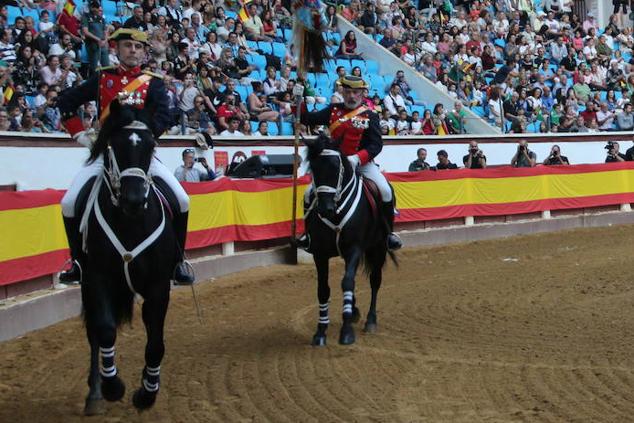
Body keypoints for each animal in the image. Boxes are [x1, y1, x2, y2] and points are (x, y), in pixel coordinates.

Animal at [79, 101, 179, 416]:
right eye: (115, 145)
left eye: (151, 145)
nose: (134, 200)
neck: (131, 222)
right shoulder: (98, 278)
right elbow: (106, 330)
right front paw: (114, 388)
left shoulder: (159, 285)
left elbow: (156, 343)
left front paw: (147, 394)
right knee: (94, 332)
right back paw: (95, 393)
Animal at [302, 137, 396, 348]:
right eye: (314, 168)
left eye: (337, 167)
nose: (325, 209)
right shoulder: (320, 253)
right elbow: (323, 289)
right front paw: (320, 332)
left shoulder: (354, 248)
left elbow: (347, 282)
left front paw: (346, 332)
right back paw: (354, 311)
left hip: (378, 247)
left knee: (375, 281)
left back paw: (370, 320)